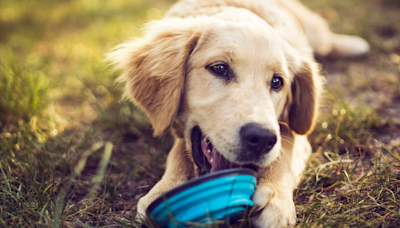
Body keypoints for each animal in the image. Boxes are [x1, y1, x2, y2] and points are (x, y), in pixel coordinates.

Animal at [108, 0, 370, 227]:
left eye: (277, 82)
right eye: (219, 68)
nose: (261, 138)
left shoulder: (295, 131)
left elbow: (284, 149)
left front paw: (276, 200)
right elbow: (178, 153)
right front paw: (164, 189)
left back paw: (353, 44)